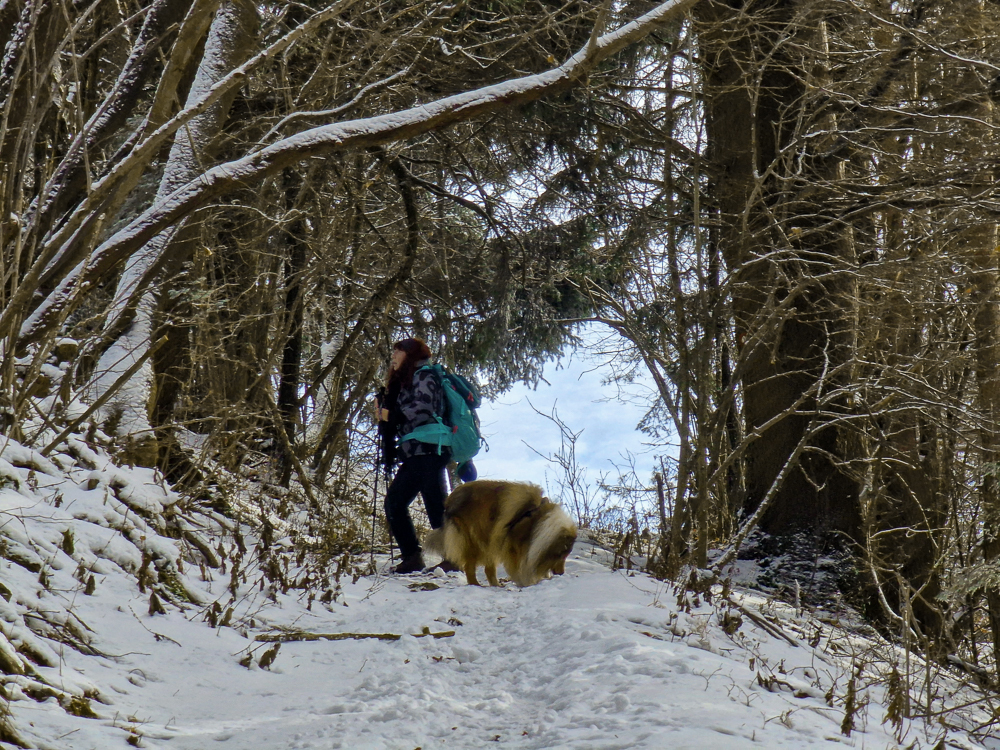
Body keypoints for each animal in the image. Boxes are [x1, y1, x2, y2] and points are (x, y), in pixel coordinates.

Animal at [424, 482, 580, 588]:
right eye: (561, 555)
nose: (561, 573)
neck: (539, 522)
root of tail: (449, 501)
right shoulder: (516, 546)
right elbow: (522, 566)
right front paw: (527, 582)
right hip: (475, 540)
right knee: (469, 567)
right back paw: (476, 584)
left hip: (490, 539)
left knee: (487, 568)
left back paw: (496, 585)